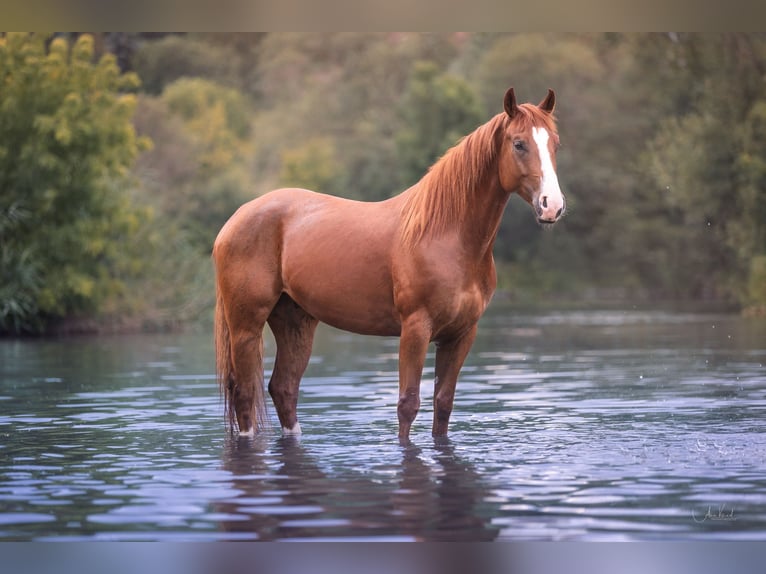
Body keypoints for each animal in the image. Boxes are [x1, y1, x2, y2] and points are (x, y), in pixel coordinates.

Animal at [213, 87, 565, 440]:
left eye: (555, 143)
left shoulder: (461, 334)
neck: (445, 234)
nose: (552, 206)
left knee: (283, 388)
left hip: (295, 322)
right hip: (246, 326)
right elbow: (408, 404)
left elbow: (443, 405)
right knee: (244, 392)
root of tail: (235, 219)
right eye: (518, 144)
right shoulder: (415, 329)